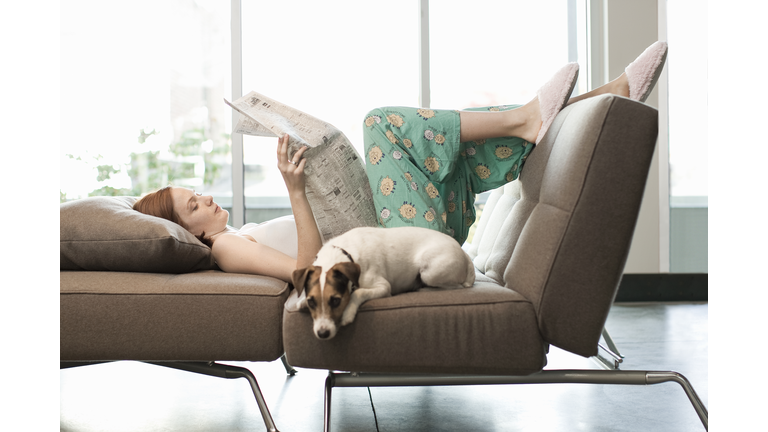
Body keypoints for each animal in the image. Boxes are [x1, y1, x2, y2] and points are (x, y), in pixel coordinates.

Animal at [292, 224, 474, 340]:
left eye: (336, 301)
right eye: (312, 302)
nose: (322, 334)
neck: (345, 253)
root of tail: (465, 255)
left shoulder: (383, 287)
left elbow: (358, 292)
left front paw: (348, 312)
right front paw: (301, 302)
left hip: (429, 271)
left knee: (455, 286)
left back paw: (422, 289)